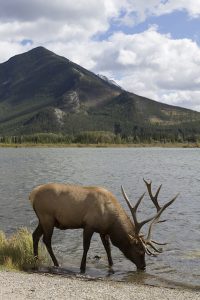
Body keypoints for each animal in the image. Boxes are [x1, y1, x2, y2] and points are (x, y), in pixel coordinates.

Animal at [28, 179, 177, 274]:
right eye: (140, 251)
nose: (143, 267)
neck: (111, 221)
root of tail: (32, 194)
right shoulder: (89, 225)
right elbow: (86, 247)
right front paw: (82, 268)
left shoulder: (103, 231)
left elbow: (108, 248)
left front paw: (111, 266)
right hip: (47, 217)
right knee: (46, 240)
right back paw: (56, 263)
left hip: (42, 220)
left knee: (35, 235)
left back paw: (35, 259)